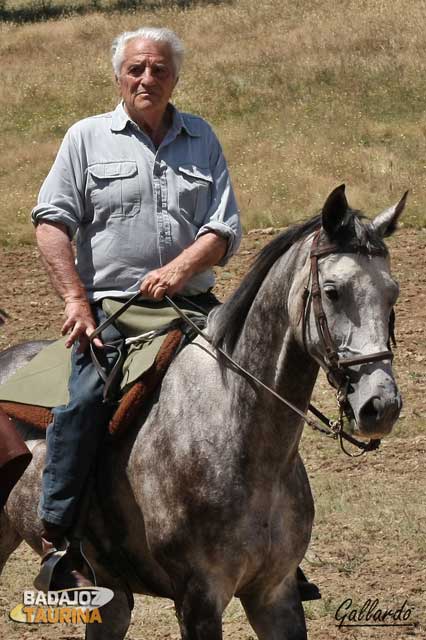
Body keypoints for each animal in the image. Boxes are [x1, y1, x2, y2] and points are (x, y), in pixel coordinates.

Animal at [0, 185, 406, 640]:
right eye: (333, 291)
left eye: (392, 292)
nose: (381, 405)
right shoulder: (198, 599)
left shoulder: (275, 593)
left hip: (112, 595)